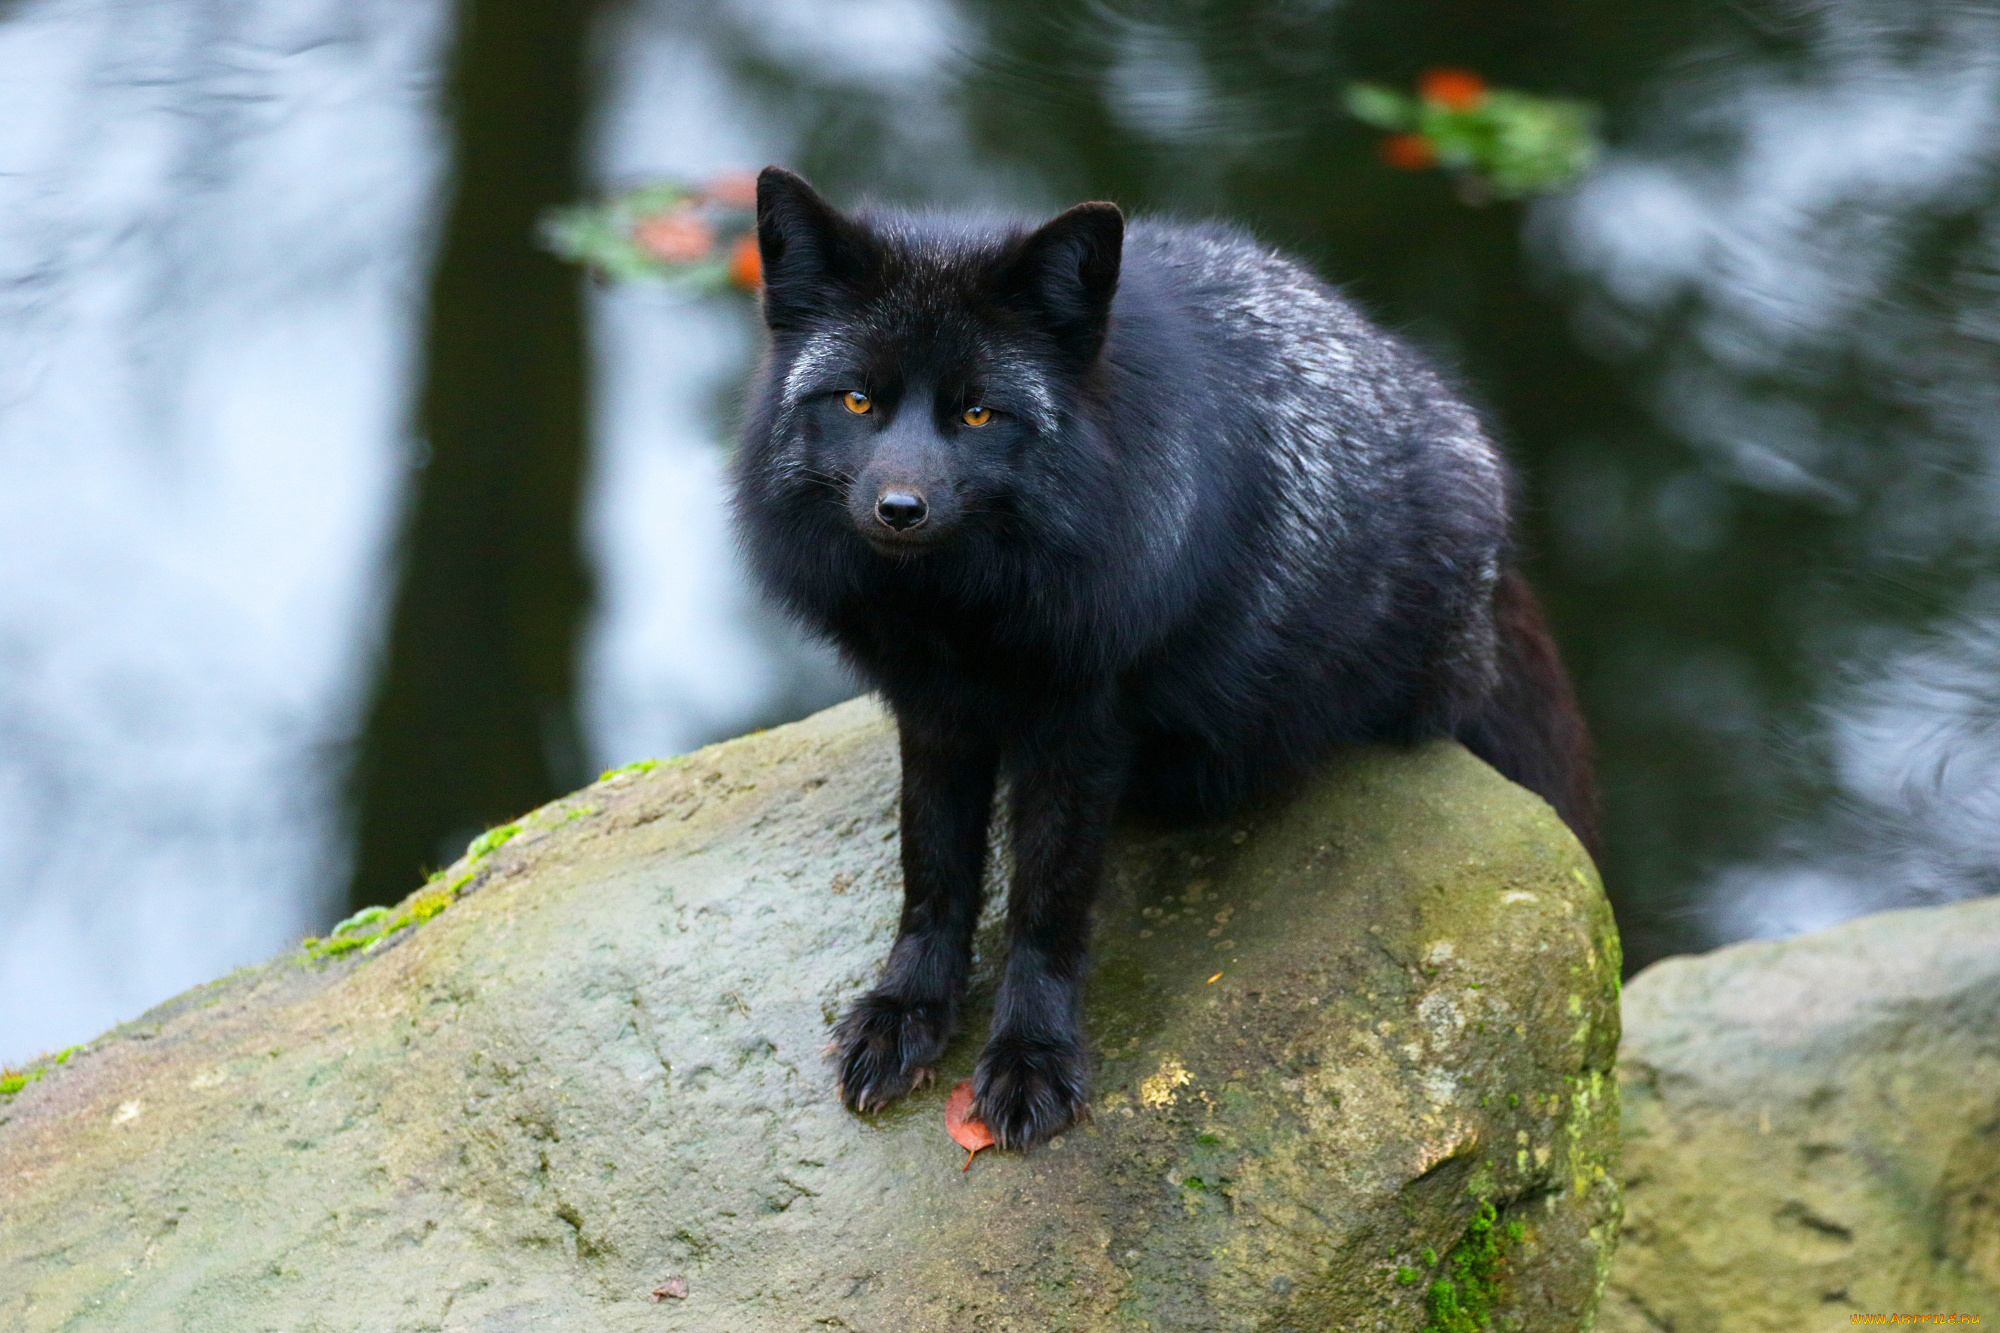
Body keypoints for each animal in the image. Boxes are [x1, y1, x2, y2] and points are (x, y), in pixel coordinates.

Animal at [731, 166, 1597, 1150]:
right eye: (857, 401)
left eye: (979, 411)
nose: (900, 508)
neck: (962, 617)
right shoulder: (935, 713)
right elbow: (935, 873)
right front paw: (906, 1012)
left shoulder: (1086, 725)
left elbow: (1046, 905)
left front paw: (1031, 1055)